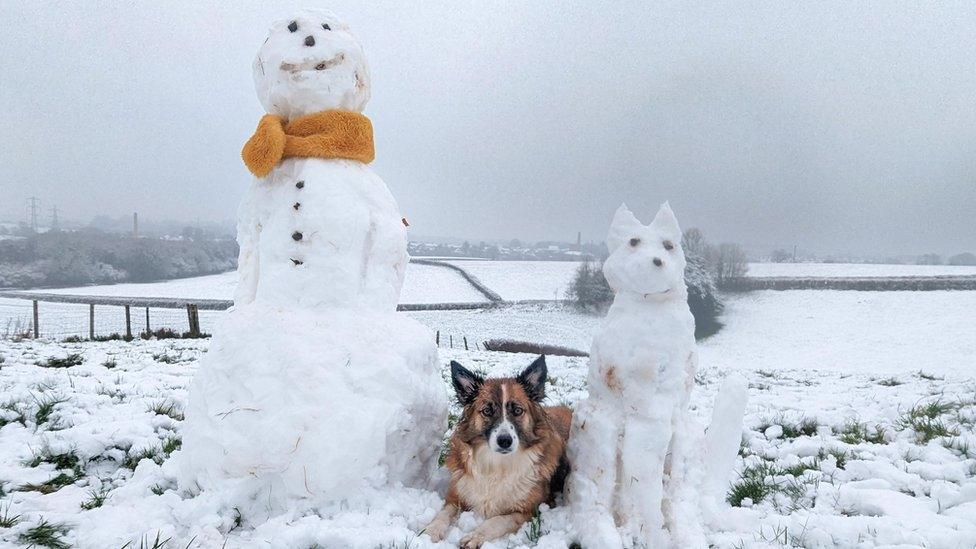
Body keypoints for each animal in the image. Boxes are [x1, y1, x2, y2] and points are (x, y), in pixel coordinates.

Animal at [422, 354, 572, 544]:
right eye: (487, 411)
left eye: (517, 410)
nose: (505, 441)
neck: (497, 464)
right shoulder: (456, 495)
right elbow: (442, 514)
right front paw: (429, 532)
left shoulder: (528, 510)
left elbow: (497, 521)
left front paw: (475, 536)